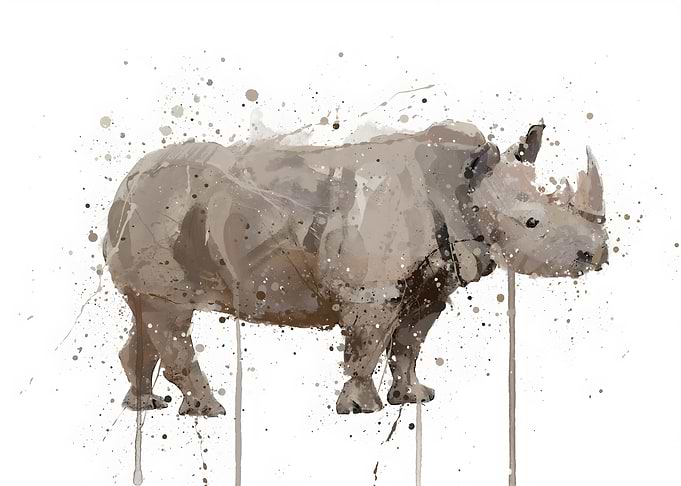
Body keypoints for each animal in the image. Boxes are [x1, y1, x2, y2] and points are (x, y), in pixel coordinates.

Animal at [103, 120, 608, 416]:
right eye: (532, 222)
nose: (597, 255)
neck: (460, 185)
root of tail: (124, 184)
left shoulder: (432, 282)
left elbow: (409, 344)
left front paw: (414, 397)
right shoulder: (372, 289)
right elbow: (369, 346)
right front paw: (364, 409)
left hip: (157, 213)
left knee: (146, 316)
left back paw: (146, 406)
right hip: (160, 211)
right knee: (170, 316)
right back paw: (209, 411)